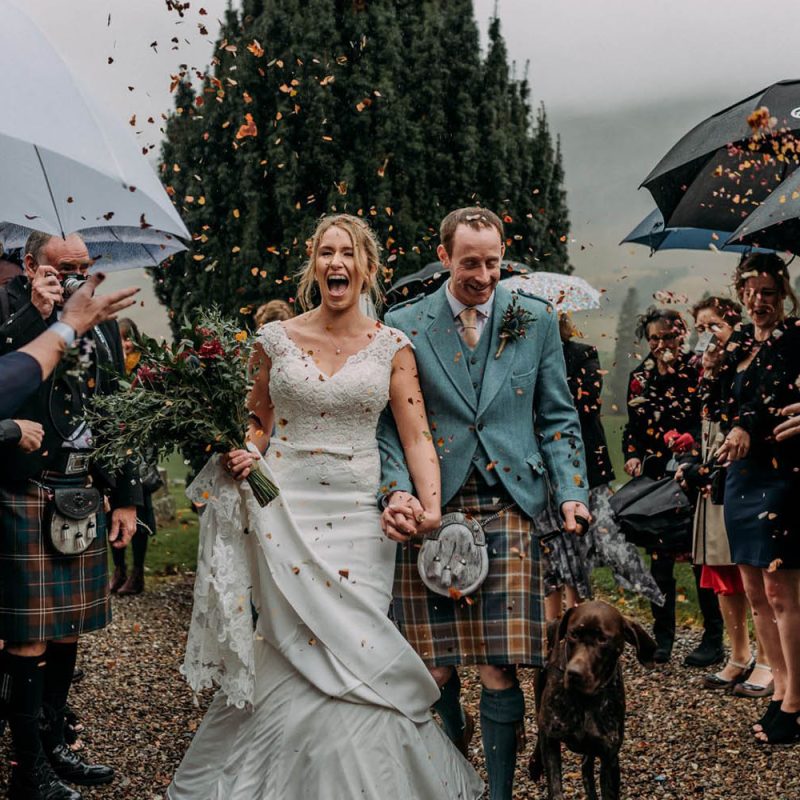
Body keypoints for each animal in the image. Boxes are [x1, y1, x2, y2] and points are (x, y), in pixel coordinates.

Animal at [528, 600, 652, 800]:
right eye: (573, 634)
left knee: (586, 766)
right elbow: (555, 787)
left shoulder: (609, 757)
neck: (584, 700)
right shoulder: (552, 738)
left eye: (603, 639)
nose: (574, 673)